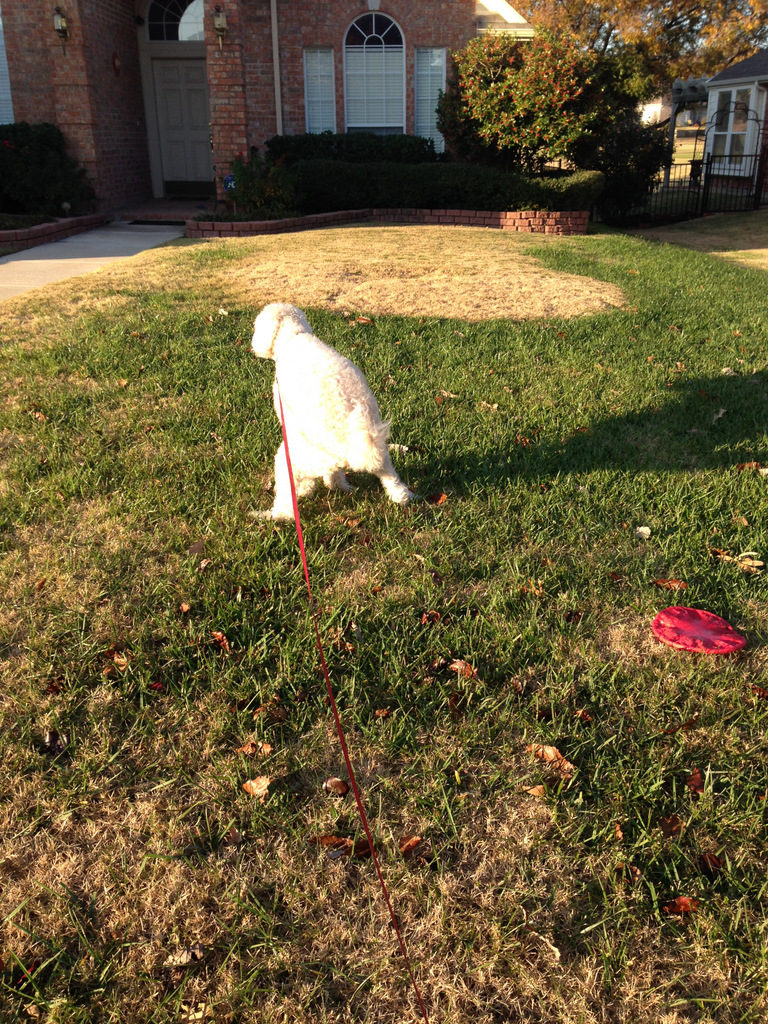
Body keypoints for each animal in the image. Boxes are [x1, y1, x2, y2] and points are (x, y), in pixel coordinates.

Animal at [252, 299, 411, 516]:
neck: (294, 336)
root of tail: (353, 445)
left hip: (295, 461)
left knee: (288, 505)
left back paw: (270, 515)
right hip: (379, 454)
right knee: (387, 477)